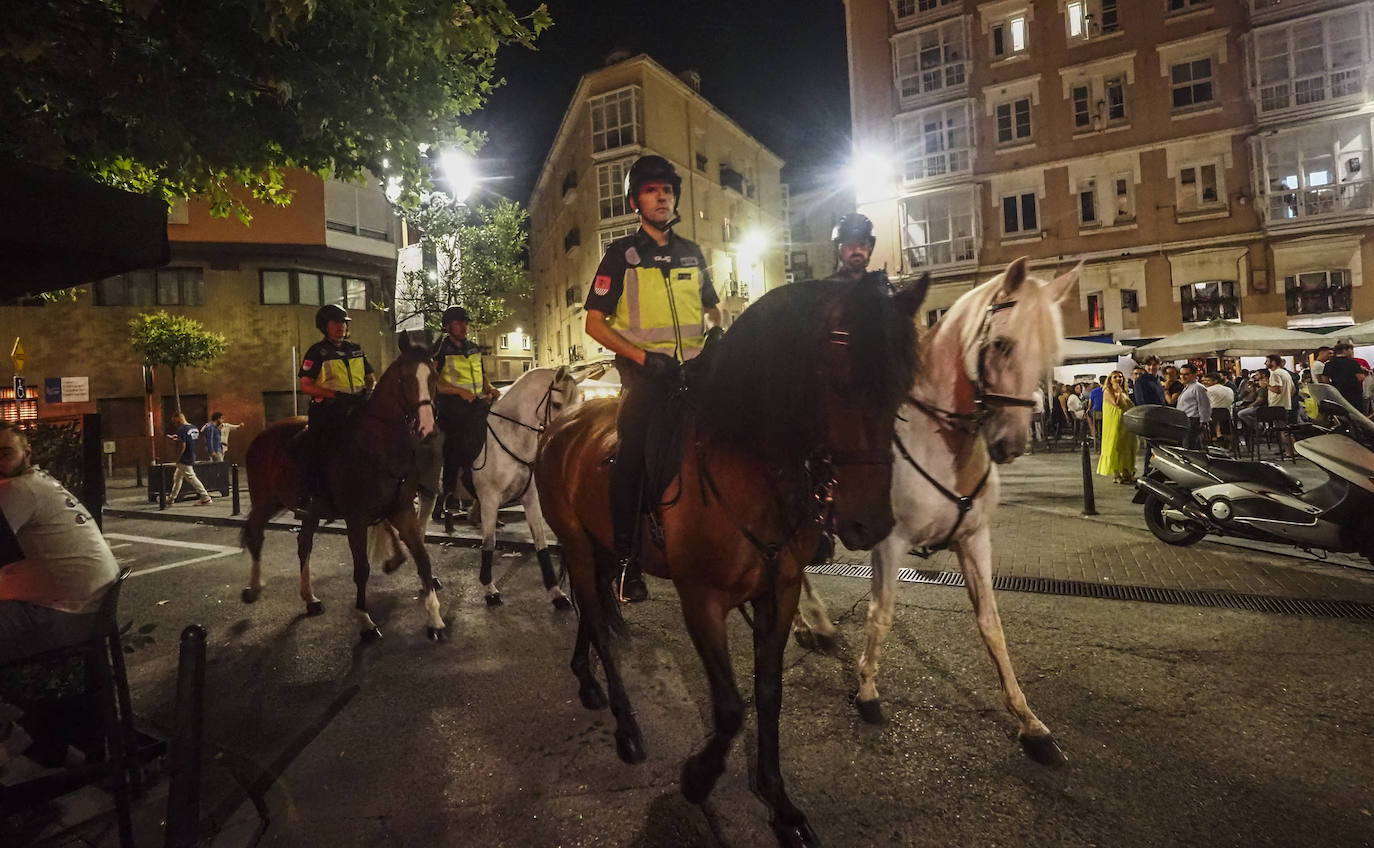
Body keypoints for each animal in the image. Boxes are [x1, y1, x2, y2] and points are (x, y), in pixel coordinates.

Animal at [239, 340, 442, 637]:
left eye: (434, 377)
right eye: (404, 379)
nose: (427, 428)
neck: (377, 445)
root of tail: (262, 436)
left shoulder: (401, 511)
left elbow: (424, 559)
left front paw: (434, 617)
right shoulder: (356, 519)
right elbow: (361, 568)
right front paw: (365, 620)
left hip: (308, 511)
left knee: (304, 545)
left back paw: (309, 598)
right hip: (265, 501)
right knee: (256, 536)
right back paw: (253, 589)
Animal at [530, 274, 928, 841]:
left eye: (901, 388)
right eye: (840, 384)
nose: (868, 523)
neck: (749, 464)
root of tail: (564, 423)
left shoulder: (779, 592)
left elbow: (767, 693)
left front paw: (779, 802)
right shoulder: (702, 600)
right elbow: (730, 707)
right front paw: (699, 778)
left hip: (603, 548)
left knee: (593, 610)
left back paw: (585, 678)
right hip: (581, 548)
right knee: (600, 624)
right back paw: (626, 726)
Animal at [796, 254, 1082, 764]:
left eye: (1050, 355)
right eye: (1001, 345)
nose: (1011, 445)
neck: (942, 446)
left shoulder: (974, 541)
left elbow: (991, 626)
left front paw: (1028, 722)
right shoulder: (888, 543)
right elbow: (881, 614)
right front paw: (867, 691)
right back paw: (813, 624)